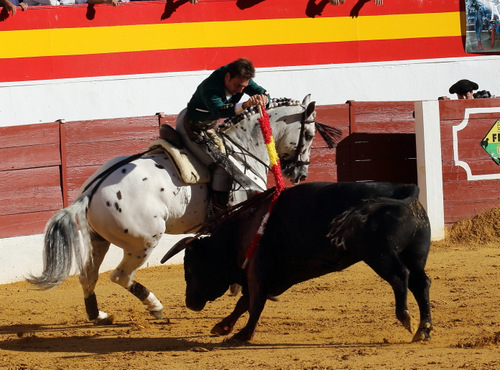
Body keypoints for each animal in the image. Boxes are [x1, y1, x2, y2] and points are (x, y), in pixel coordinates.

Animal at [29, 94, 338, 324]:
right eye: (309, 134)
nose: (300, 173)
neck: (246, 148)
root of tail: (89, 192)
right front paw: (250, 288)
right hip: (144, 241)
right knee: (120, 275)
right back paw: (155, 307)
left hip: (99, 240)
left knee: (88, 275)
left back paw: (100, 315)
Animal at [162, 181, 432, 342]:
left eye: (190, 267)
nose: (190, 302)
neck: (240, 231)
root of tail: (403, 189)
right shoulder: (268, 277)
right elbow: (244, 302)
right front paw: (223, 327)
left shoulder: (257, 271)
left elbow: (254, 303)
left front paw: (242, 335)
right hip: (414, 254)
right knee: (421, 283)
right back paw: (423, 330)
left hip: (378, 254)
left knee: (400, 276)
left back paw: (406, 318)